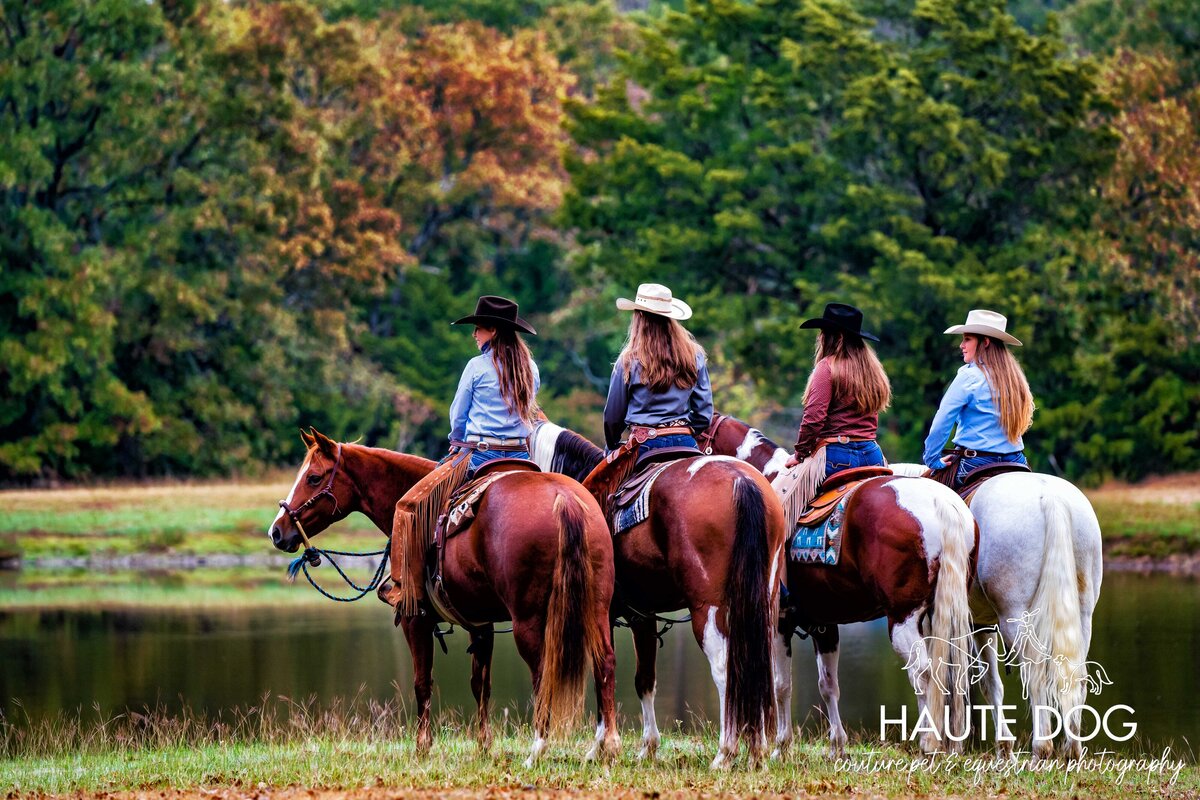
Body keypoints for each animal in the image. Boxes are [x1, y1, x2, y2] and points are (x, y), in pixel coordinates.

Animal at [265, 429, 619, 767]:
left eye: (314, 477)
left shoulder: (415, 619)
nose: (277, 531)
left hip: (529, 621)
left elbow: (423, 682)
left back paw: (538, 750)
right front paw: (483, 746)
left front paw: (422, 747)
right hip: (596, 610)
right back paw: (606, 746)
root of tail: (564, 499)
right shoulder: (481, 623)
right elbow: (480, 683)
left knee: (543, 672)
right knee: (604, 662)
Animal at [532, 422, 792, 767]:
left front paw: (599, 747)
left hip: (708, 609)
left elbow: (605, 671)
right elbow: (645, 679)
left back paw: (725, 752)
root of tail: (742, 481)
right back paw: (756, 750)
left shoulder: (608, 613)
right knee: (757, 666)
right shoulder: (643, 614)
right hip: (761, 606)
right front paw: (648, 747)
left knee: (725, 670)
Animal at [700, 417, 979, 753]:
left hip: (903, 619)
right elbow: (828, 685)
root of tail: (942, 503)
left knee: (923, 674)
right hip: (945, 613)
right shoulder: (824, 624)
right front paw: (837, 746)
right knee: (951, 673)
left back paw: (928, 742)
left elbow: (781, 685)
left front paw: (781, 746)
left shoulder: (779, 621)